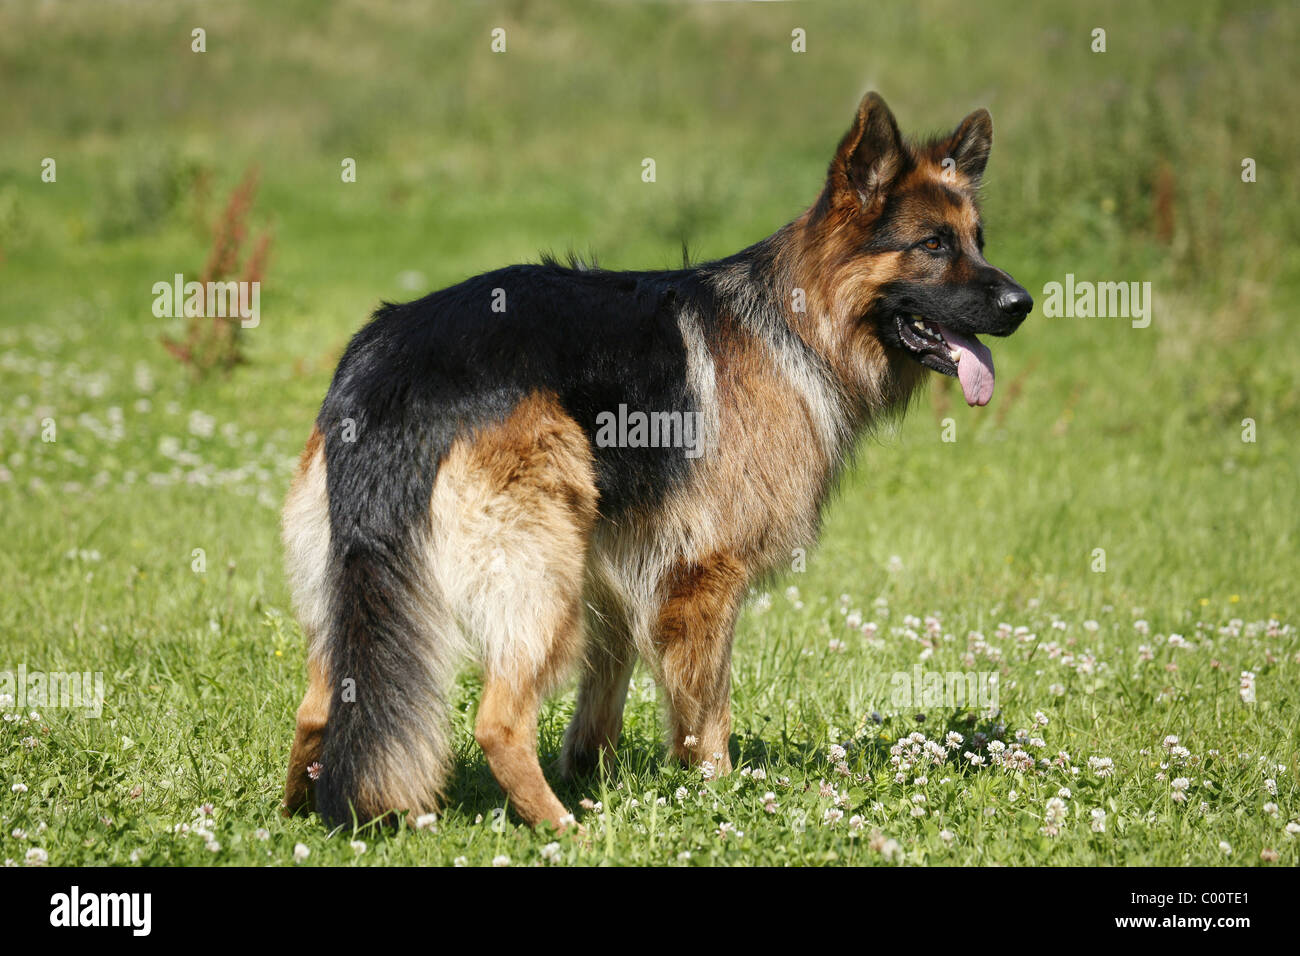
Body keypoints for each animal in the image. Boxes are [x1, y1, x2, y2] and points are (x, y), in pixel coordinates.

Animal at [282, 93, 1024, 832]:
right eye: (933, 245)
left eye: (979, 240)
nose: (1022, 304)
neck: (800, 321)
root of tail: (397, 368)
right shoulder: (704, 582)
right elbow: (708, 715)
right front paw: (718, 795)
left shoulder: (617, 570)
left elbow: (604, 697)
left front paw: (593, 773)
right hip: (540, 582)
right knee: (497, 722)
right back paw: (563, 830)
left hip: (360, 592)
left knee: (319, 710)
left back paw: (304, 813)